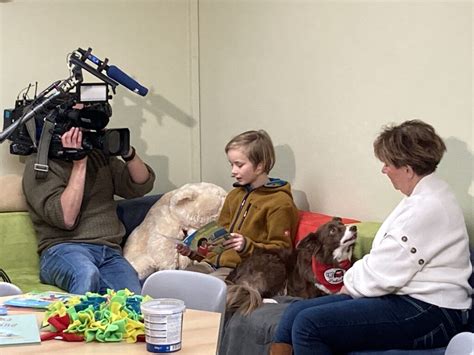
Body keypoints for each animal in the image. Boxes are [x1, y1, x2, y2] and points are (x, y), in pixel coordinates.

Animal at [225, 218, 356, 316]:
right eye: (332, 231)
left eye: (342, 224)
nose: (354, 227)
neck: (330, 262)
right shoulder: (311, 294)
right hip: (276, 266)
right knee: (252, 292)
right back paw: (271, 300)